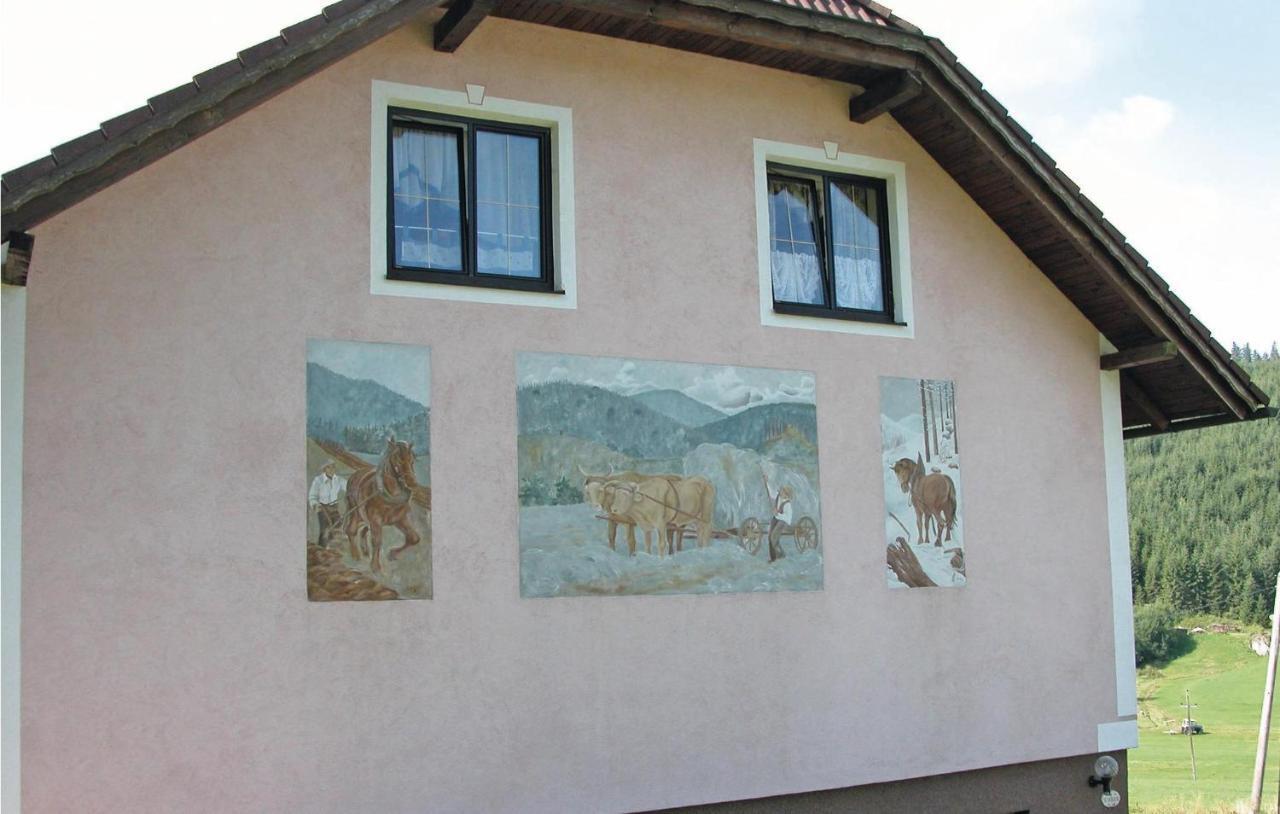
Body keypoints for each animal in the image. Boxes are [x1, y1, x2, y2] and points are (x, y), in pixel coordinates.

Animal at [345, 437, 424, 573]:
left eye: (412, 459)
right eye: (397, 460)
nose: (412, 483)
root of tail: (354, 476)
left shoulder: (400, 519)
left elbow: (414, 538)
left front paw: (392, 554)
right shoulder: (376, 520)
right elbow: (377, 541)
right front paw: (375, 566)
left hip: (363, 517)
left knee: (362, 531)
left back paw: (365, 551)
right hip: (355, 512)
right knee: (351, 530)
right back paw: (355, 554)